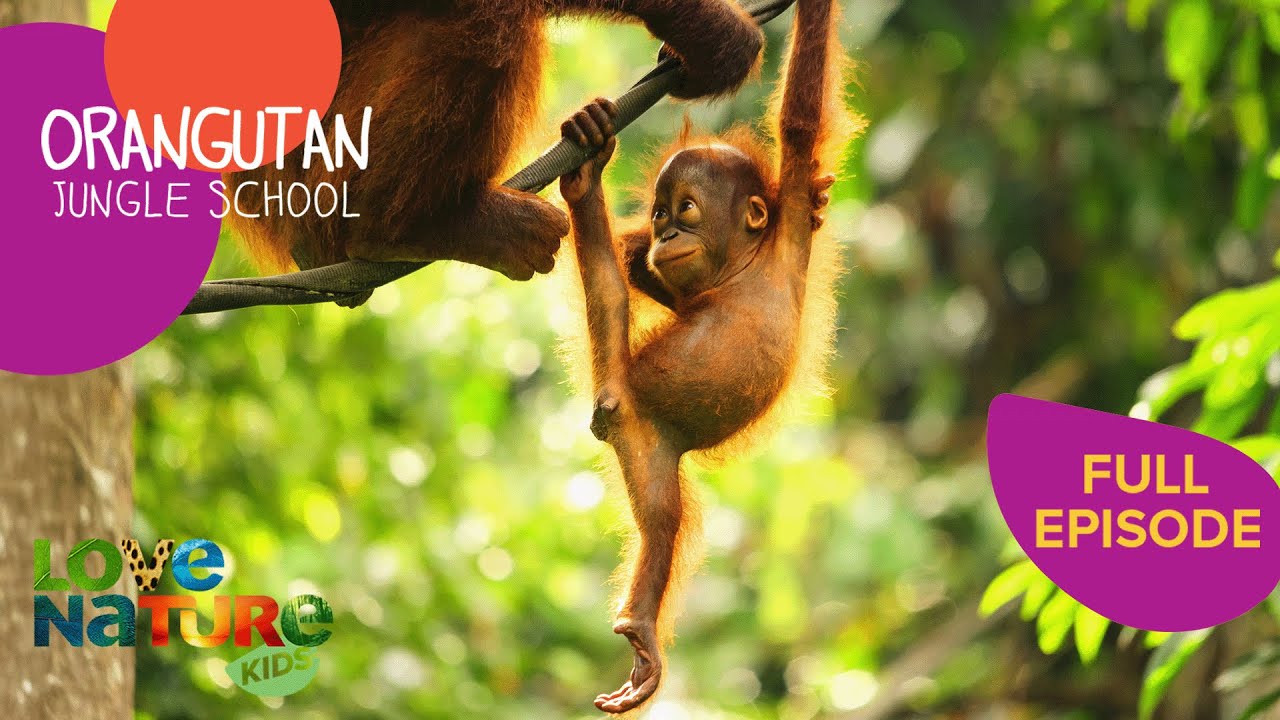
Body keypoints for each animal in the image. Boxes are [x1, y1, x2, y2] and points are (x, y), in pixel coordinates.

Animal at [557, 0, 854, 711]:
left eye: (685, 211)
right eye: (660, 214)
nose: (666, 234)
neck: (744, 270)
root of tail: (619, 405)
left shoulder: (787, 220)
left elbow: (799, 129)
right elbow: (799, 121)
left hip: (645, 449)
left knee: (662, 523)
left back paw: (639, 631)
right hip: (628, 403)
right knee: (607, 289)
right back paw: (582, 182)